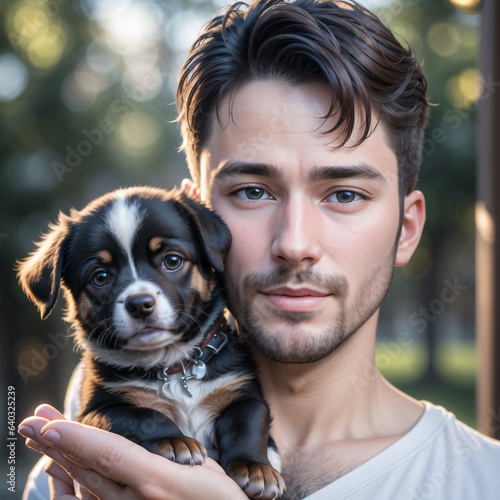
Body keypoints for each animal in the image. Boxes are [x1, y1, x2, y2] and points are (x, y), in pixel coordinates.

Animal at [17, 187, 286, 500]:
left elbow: (247, 423)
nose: (140, 304)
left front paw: (255, 469)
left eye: (172, 261)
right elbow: (142, 415)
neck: (170, 362)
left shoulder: (242, 389)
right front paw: (175, 441)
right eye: (100, 277)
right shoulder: (96, 409)